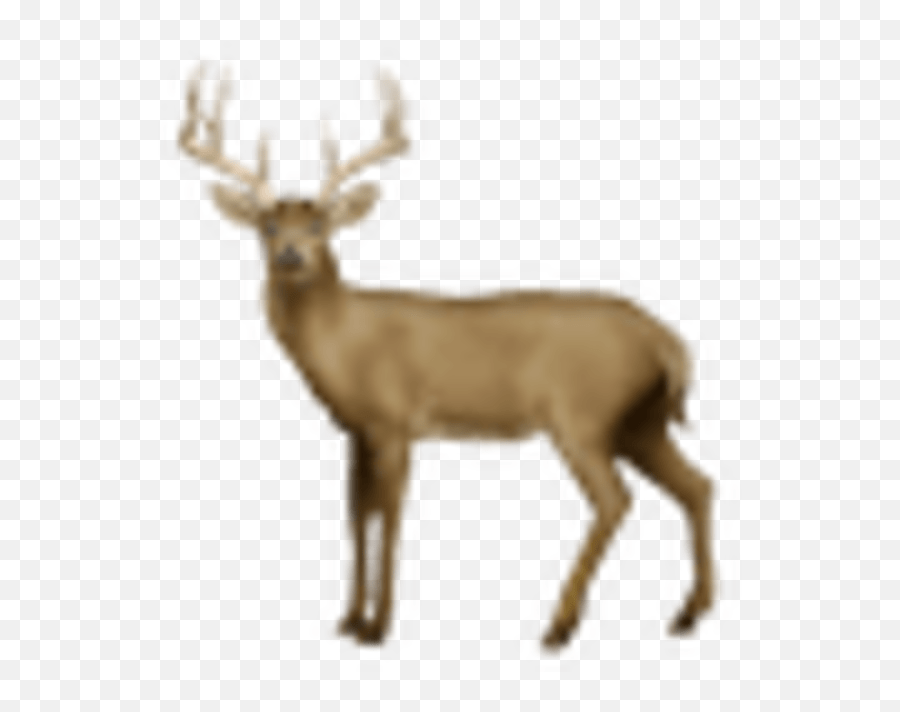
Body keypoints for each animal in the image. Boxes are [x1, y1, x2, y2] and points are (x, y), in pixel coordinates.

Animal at [178, 64, 716, 649]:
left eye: (319, 225)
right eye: (268, 226)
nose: (290, 255)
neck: (344, 340)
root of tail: (666, 339)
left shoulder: (394, 422)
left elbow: (389, 517)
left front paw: (378, 626)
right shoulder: (357, 430)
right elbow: (355, 515)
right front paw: (348, 619)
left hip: (584, 416)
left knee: (615, 500)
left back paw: (559, 624)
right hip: (641, 421)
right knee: (697, 485)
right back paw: (688, 614)